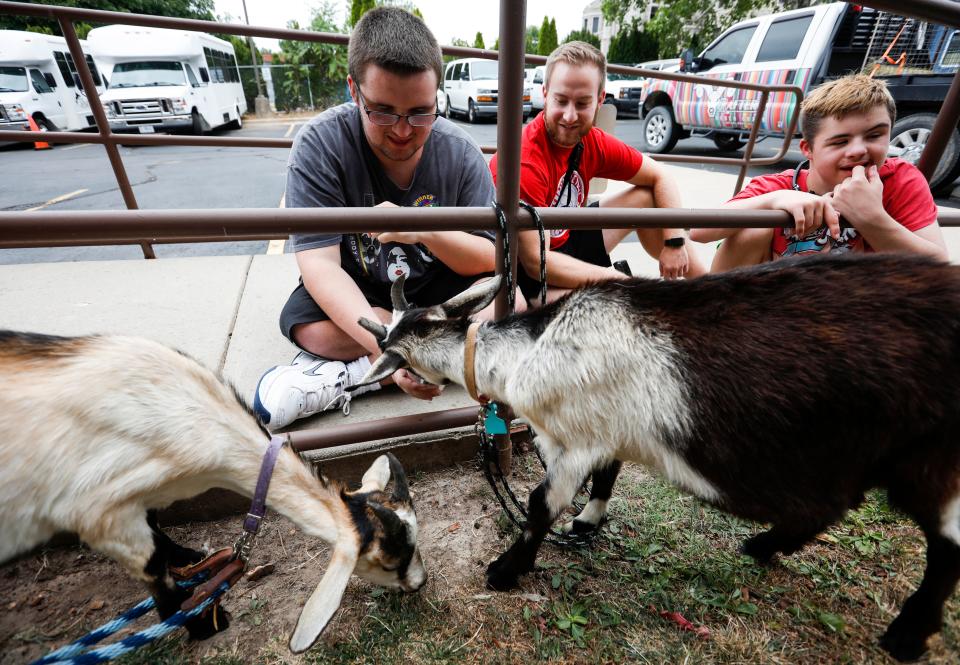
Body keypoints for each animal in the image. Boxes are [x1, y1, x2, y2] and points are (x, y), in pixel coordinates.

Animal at [0, 330, 428, 652]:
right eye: (389, 562)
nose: (419, 583)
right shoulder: (100, 512)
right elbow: (154, 567)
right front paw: (205, 623)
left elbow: (159, 530)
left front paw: (195, 561)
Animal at [356, 253, 960, 660]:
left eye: (402, 338)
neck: (533, 348)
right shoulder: (608, 431)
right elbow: (607, 478)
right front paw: (587, 525)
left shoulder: (574, 439)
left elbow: (539, 503)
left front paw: (506, 570)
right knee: (831, 507)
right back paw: (763, 546)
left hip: (935, 461)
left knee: (945, 547)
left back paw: (907, 635)